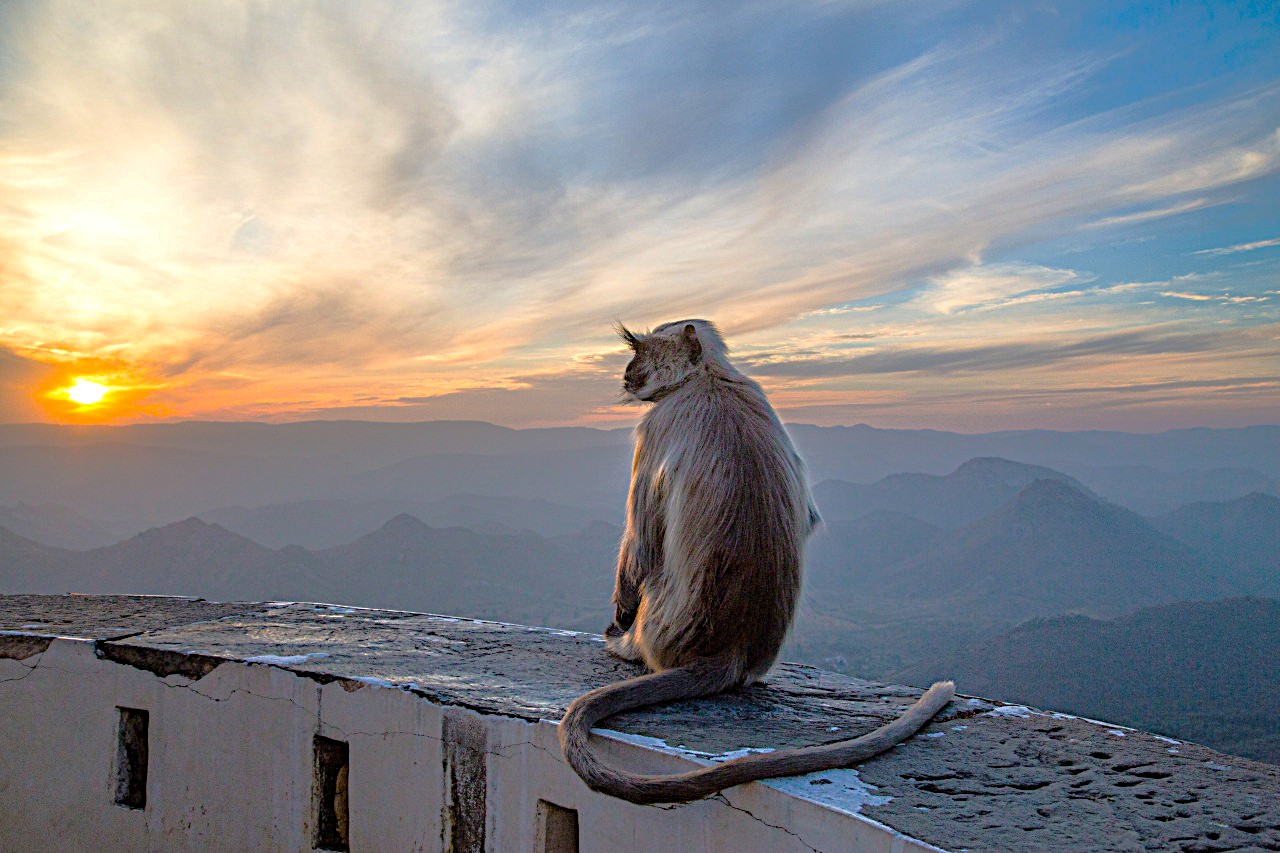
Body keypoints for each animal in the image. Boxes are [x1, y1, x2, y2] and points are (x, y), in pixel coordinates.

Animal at [558, 319, 955, 805]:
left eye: (639, 351)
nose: (628, 372)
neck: (707, 377)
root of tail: (731, 650)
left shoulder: (656, 426)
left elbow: (643, 545)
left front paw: (619, 612)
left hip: (658, 629)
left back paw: (624, 644)